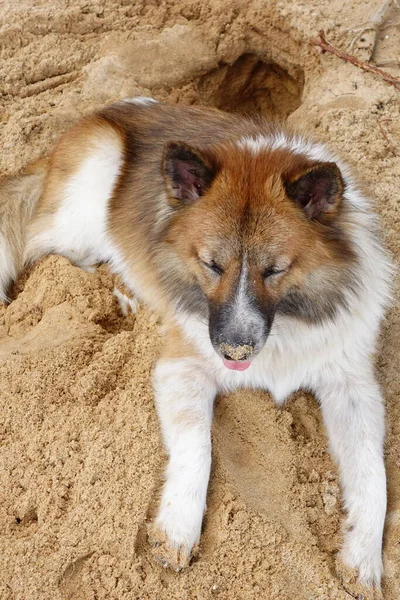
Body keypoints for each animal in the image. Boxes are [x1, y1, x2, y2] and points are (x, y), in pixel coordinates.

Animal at [0, 97, 392, 584]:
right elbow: (197, 448)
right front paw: (177, 529)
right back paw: (123, 293)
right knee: (51, 252)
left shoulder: (352, 385)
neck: (286, 322)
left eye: (274, 270)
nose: (234, 351)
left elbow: (373, 475)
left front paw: (364, 558)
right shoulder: (181, 368)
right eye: (211, 265)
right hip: (92, 189)